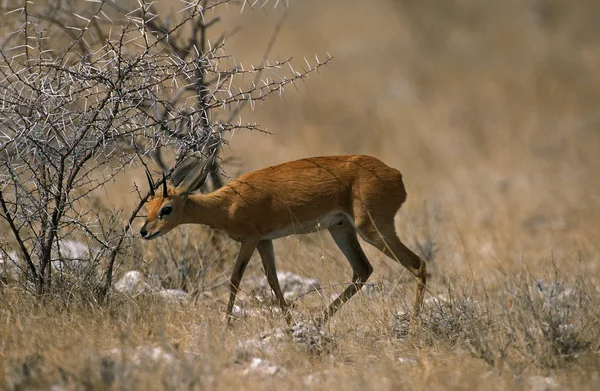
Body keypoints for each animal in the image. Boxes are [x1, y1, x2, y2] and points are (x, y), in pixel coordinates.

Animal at [139, 153, 426, 328]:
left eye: (166, 208)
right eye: (148, 206)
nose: (144, 231)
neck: (227, 204)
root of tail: (395, 174)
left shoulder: (250, 240)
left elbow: (234, 280)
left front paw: (226, 325)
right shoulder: (265, 241)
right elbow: (273, 280)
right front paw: (289, 324)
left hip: (372, 229)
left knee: (417, 264)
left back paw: (413, 327)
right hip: (341, 228)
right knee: (362, 269)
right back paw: (317, 324)